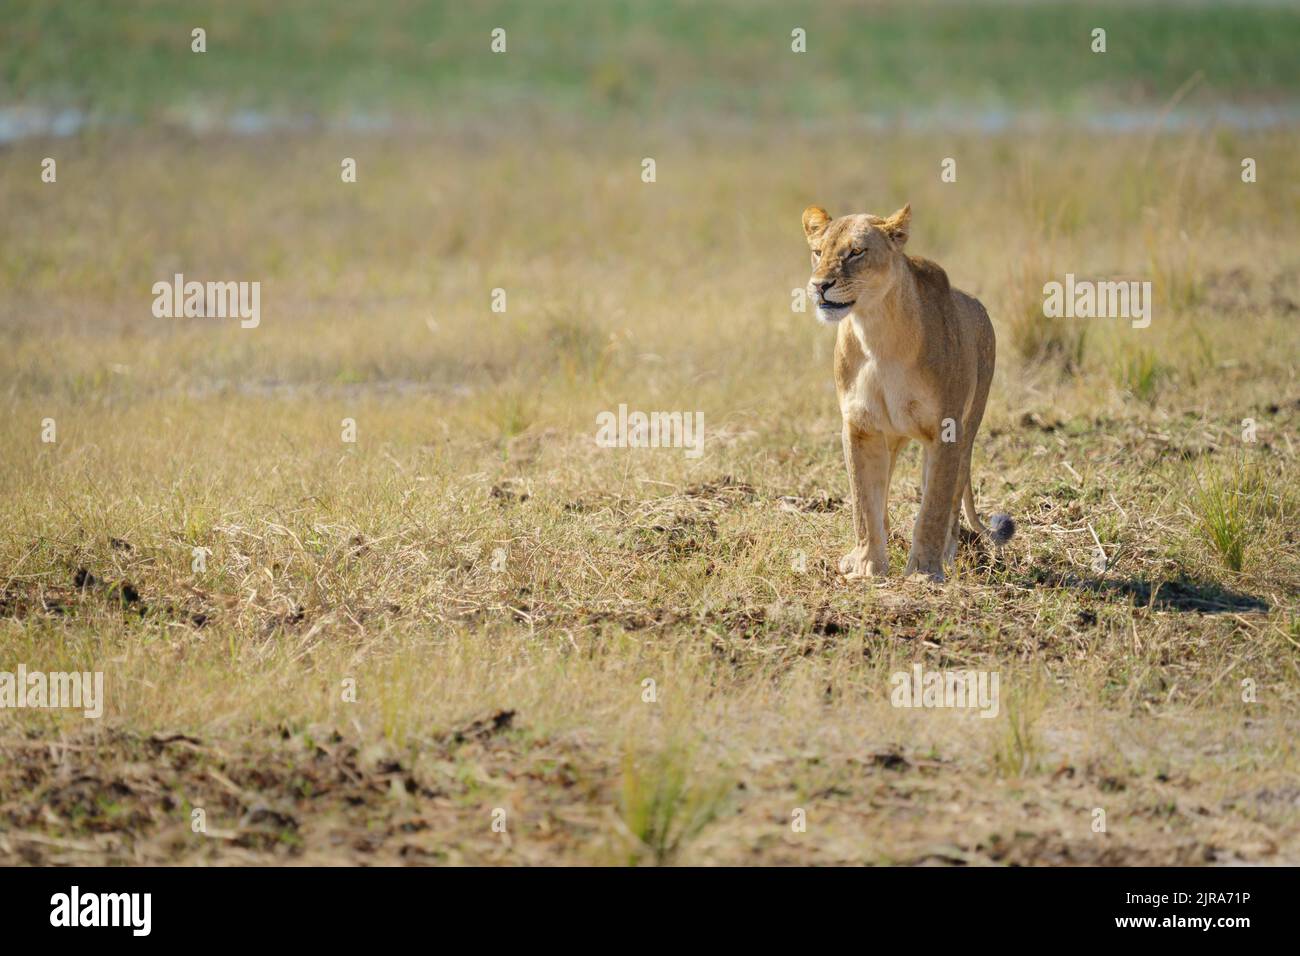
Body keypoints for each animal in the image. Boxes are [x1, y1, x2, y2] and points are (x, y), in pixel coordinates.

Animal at [802, 203, 1014, 582]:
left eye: (855, 252)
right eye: (817, 252)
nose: (819, 286)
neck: (877, 333)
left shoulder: (946, 430)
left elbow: (934, 506)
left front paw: (925, 572)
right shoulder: (860, 427)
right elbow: (864, 505)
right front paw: (867, 566)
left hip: (969, 424)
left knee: (952, 496)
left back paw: (948, 552)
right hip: (891, 437)